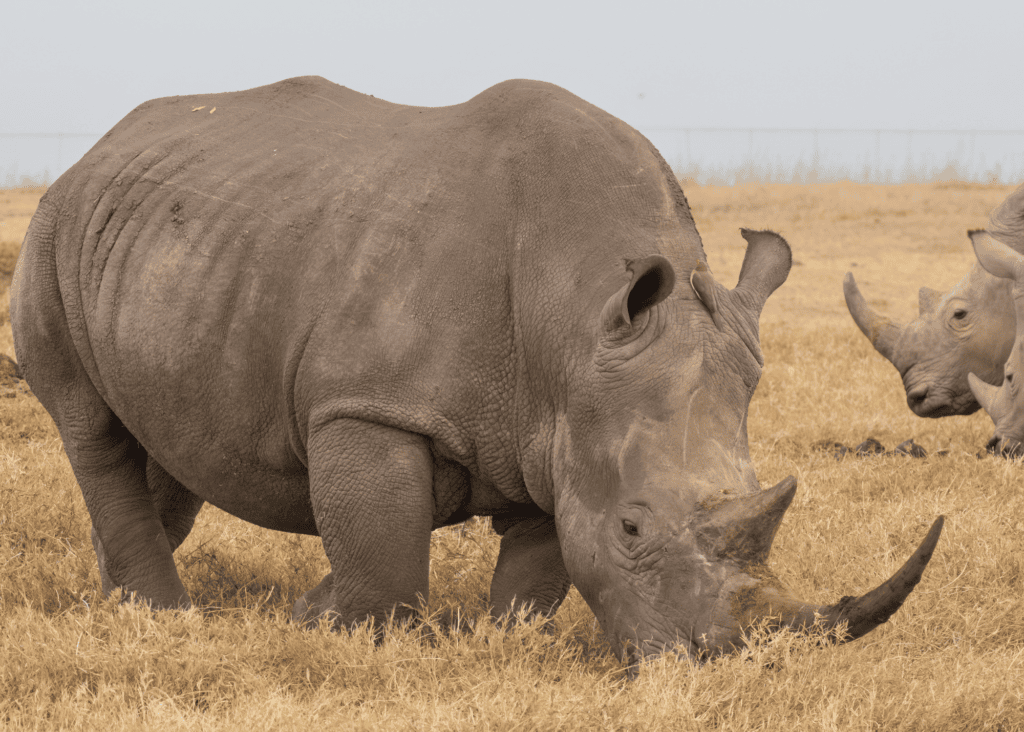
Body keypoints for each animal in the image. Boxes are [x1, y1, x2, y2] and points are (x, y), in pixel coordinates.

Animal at [10, 76, 942, 663]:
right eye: (633, 530)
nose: (727, 663)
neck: (573, 315)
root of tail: (99, 147)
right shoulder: (369, 404)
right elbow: (385, 562)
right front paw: (349, 635)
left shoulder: (560, 423)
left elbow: (536, 570)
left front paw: (489, 640)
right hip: (52, 227)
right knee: (90, 428)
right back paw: (161, 616)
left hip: (166, 245)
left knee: (164, 445)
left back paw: (120, 596)